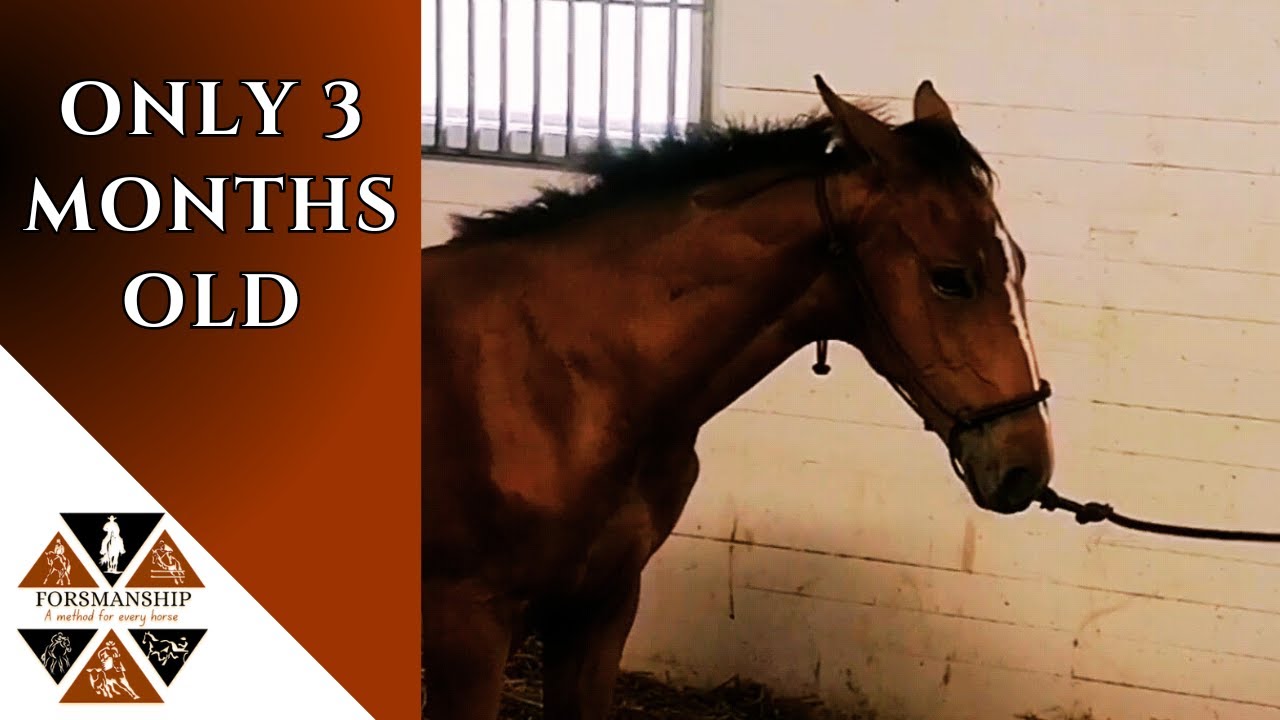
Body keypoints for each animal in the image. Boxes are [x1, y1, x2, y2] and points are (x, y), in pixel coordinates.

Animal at [422, 77, 1054, 720]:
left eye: (1019, 265)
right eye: (950, 278)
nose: (1026, 465)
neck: (565, 379)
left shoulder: (601, 607)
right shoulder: (470, 633)